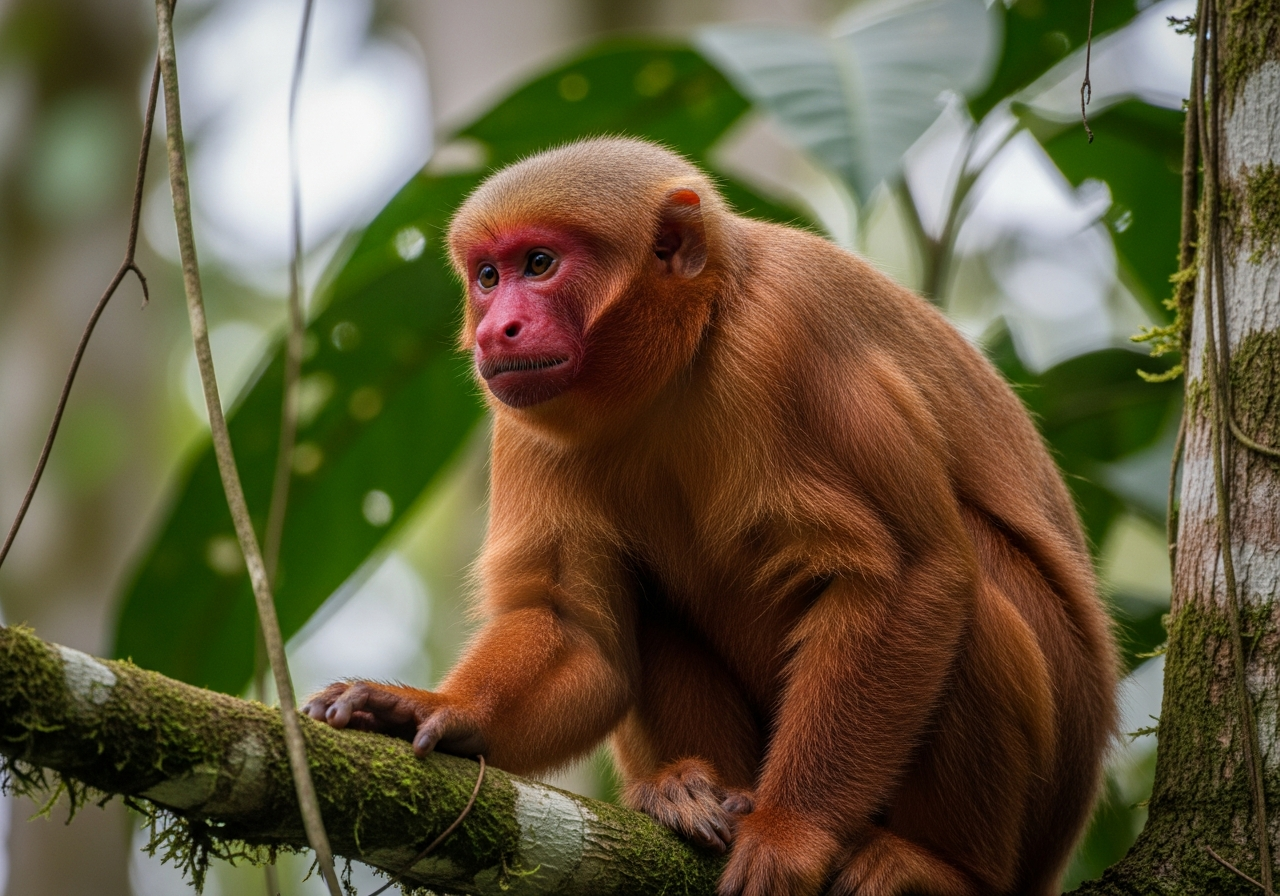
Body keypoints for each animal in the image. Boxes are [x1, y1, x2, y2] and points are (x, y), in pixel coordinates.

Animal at [304, 138, 1117, 896]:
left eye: (539, 264)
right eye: (488, 277)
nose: (495, 328)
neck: (685, 355)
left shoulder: (792, 332)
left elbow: (909, 575)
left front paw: (792, 832)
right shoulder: (522, 416)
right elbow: (579, 635)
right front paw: (430, 709)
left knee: (967, 588)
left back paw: (947, 869)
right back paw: (688, 792)